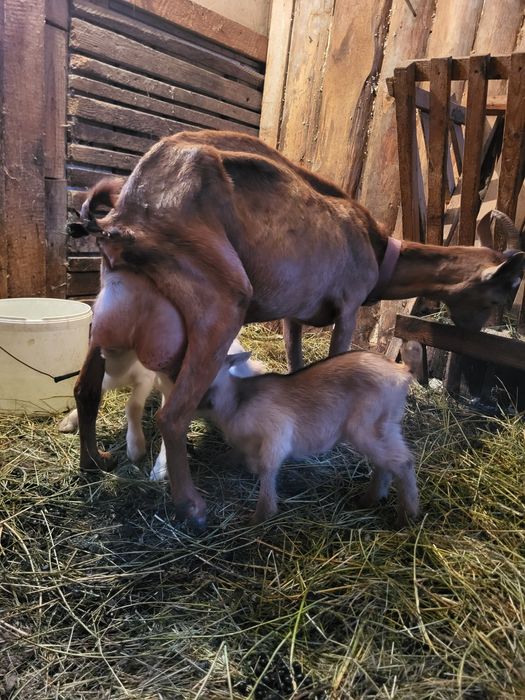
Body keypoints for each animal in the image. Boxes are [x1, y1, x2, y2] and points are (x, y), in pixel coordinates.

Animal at [198, 342, 422, 526]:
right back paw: (370, 499)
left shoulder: (277, 433)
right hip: (386, 425)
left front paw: (261, 515)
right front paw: (219, 460)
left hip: (367, 427)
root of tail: (402, 370)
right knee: (387, 462)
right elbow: (238, 456)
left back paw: (406, 517)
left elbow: (267, 468)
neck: (236, 401)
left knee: (403, 462)